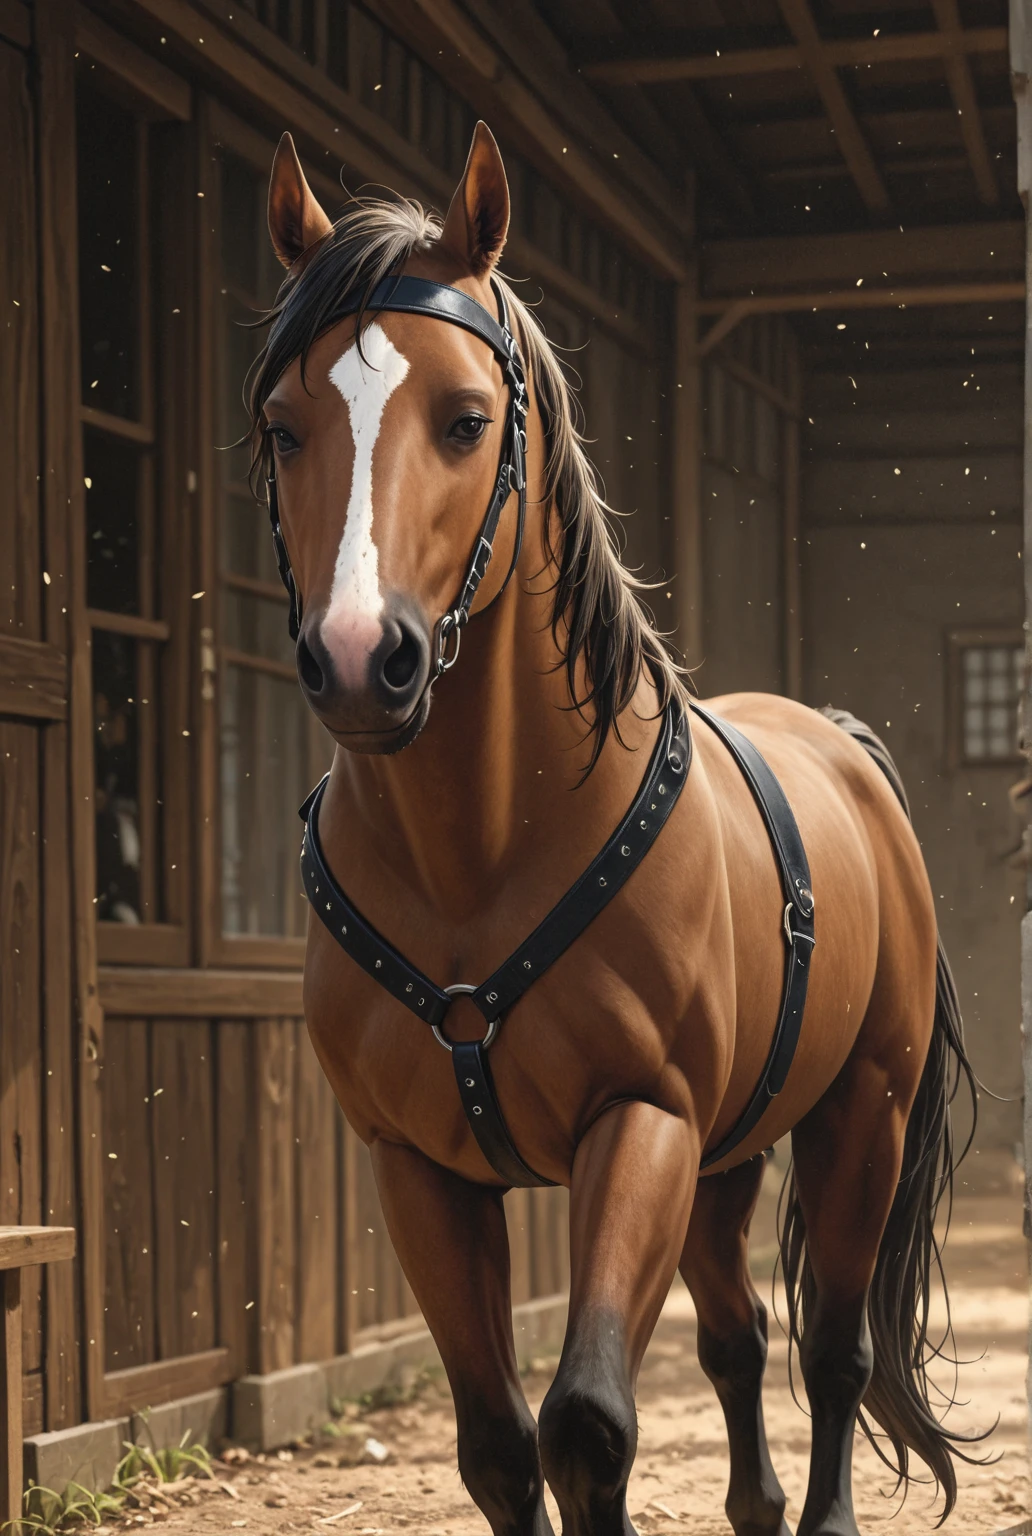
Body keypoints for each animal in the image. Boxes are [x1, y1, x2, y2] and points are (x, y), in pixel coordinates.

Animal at [248, 121, 979, 1536]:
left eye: (467, 420)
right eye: (284, 427)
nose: (363, 662)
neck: (474, 854)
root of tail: (844, 748)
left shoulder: (639, 1118)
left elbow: (588, 1422)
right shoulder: (420, 1171)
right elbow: (498, 1445)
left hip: (856, 1113)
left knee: (834, 1347)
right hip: (726, 1158)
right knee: (741, 1338)